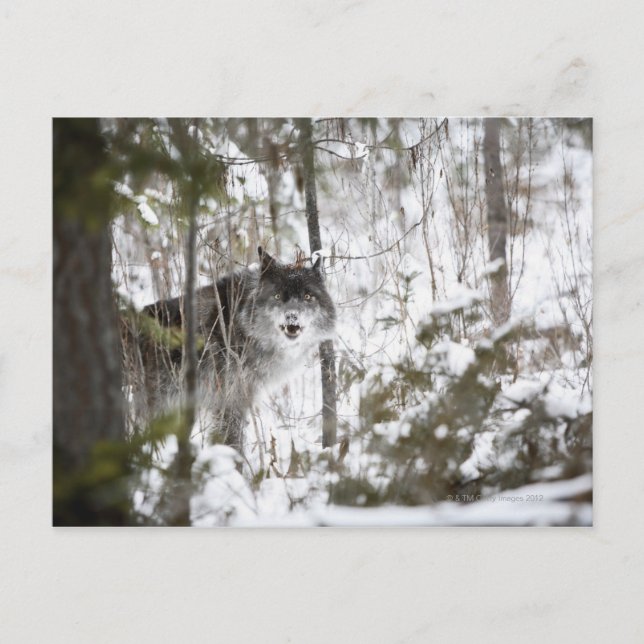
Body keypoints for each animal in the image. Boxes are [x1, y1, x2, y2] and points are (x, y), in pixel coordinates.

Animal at [122, 247, 336, 452]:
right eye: (277, 296)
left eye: (308, 296)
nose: (292, 317)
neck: (241, 325)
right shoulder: (228, 401)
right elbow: (232, 442)